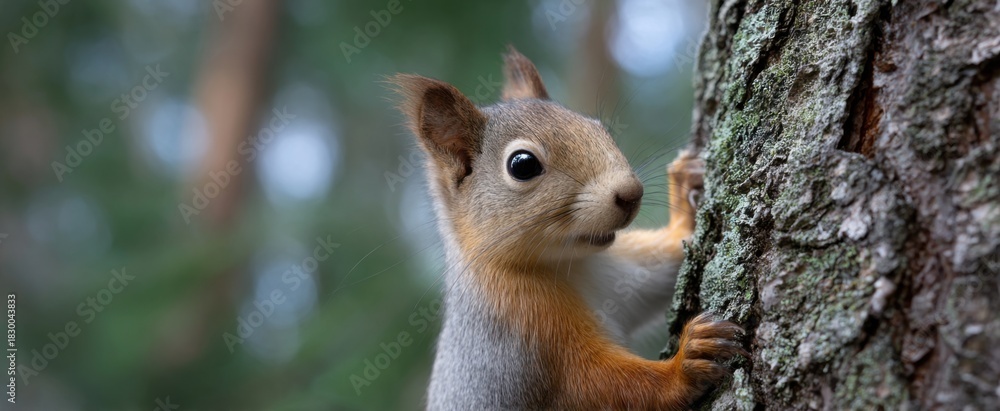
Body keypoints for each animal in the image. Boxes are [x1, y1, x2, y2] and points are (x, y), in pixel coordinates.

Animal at [391, 47, 745, 410]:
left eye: (599, 128)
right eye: (522, 165)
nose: (631, 193)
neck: (568, 264)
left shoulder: (619, 271)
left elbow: (663, 267)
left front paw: (686, 198)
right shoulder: (523, 338)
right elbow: (602, 386)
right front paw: (687, 362)